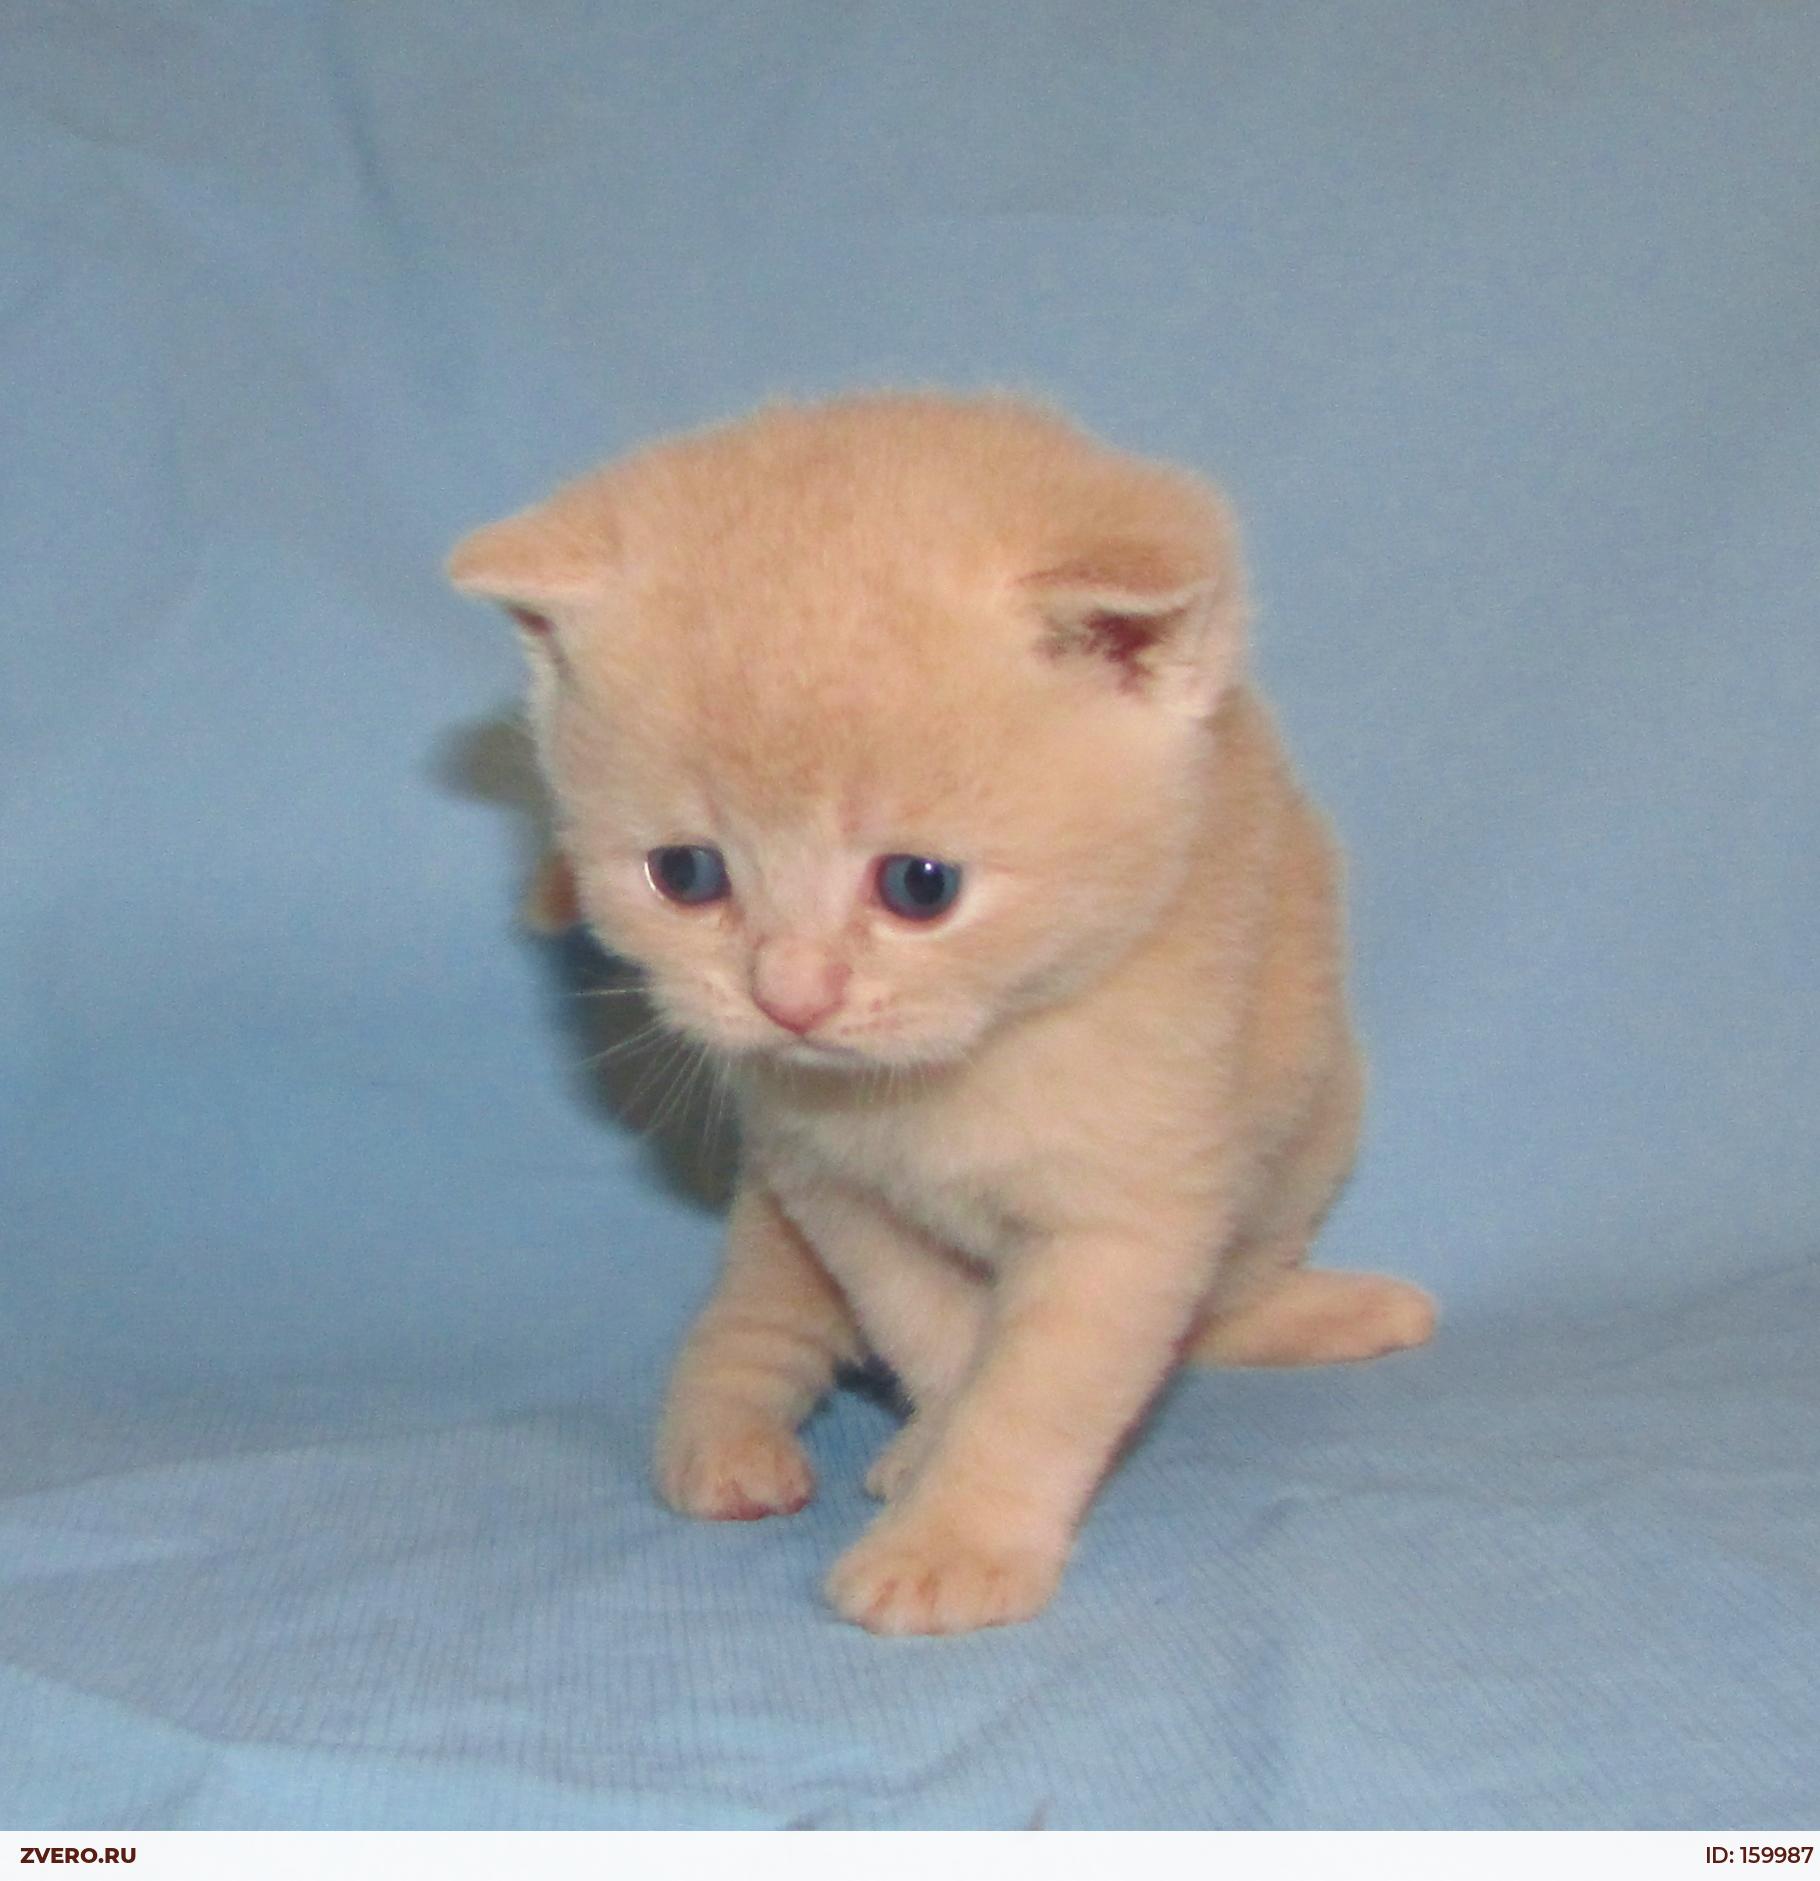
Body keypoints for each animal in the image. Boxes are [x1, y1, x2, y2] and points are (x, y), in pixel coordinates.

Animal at [448, 392, 1435, 1635]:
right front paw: (927, 1458)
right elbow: (936, 1340)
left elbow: (1035, 1392)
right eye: (685, 874)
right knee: (746, 1327)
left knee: (1228, 1291)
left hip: (1307, 1129)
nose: (789, 997)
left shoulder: (1129, 1216)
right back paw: (722, 1448)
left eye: (919, 886)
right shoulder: (835, 1196)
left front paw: (953, 1535)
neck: (947, 1079)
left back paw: (1324, 1313)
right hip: (773, 1225)